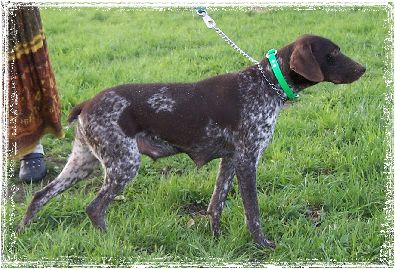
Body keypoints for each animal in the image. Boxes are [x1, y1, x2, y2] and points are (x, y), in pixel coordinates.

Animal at [17, 34, 366, 247]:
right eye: (333, 53)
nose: (364, 68)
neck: (266, 83)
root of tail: (87, 103)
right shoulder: (247, 161)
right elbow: (252, 212)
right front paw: (263, 244)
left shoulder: (230, 159)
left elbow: (216, 204)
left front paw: (216, 239)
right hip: (123, 165)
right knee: (93, 207)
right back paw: (110, 239)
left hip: (83, 162)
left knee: (40, 196)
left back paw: (23, 231)